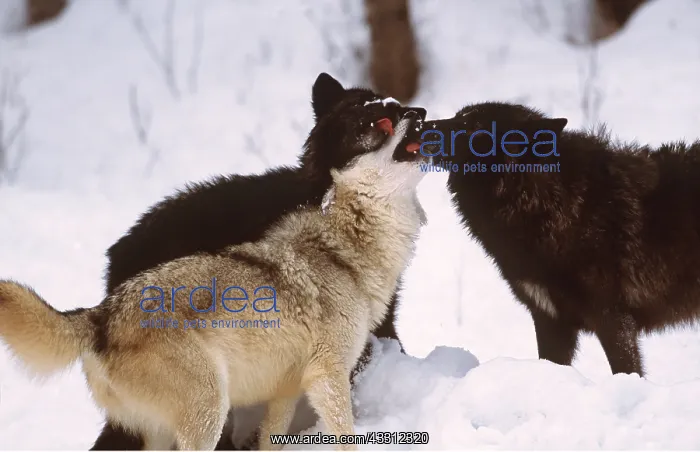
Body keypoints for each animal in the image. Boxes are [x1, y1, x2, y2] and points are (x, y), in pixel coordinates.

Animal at [0, 112, 429, 451]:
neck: (344, 250)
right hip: (209, 412)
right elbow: (346, 435)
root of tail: (100, 315)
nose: (419, 113)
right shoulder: (328, 375)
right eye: (379, 125)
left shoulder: (287, 391)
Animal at [423, 101, 700, 377]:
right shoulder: (549, 319)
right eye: (459, 116)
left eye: (474, 127)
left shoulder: (613, 319)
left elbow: (626, 370)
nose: (422, 125)